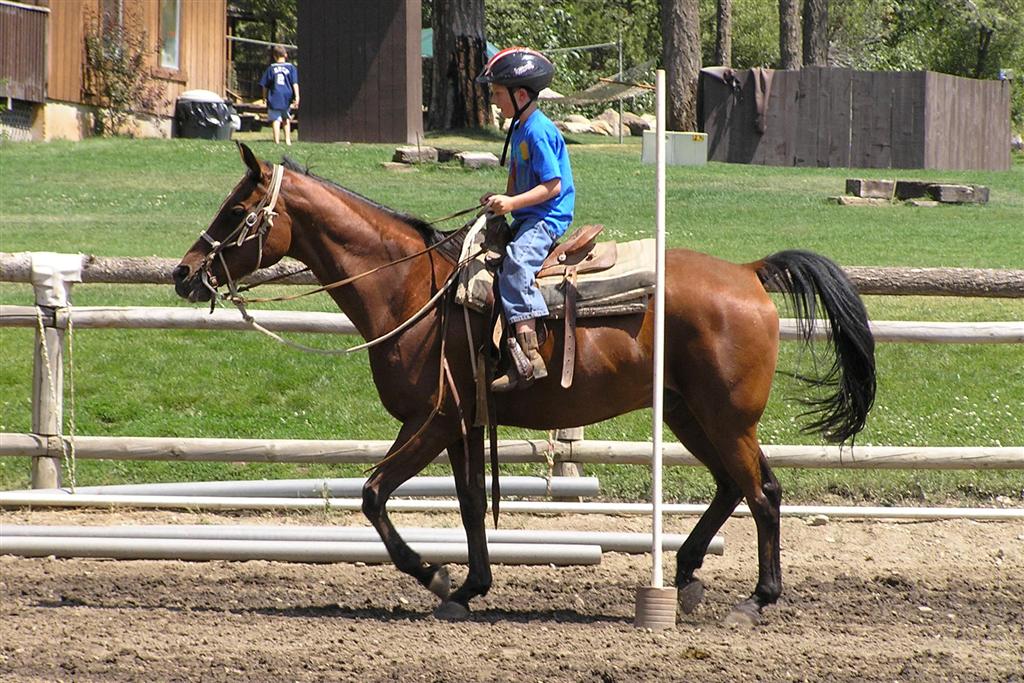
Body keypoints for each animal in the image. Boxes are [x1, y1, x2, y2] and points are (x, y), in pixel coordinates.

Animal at [173, 143, 876, 626]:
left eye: (237, 211)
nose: (183, 274)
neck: (413, 290)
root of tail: (749, 272)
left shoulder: (431, 421)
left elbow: (372, 495)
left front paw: (433, 575)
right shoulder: (461, 426)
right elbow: (469, 507)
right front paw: (467, 588)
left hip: (727, 419)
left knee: (764, 493)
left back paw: (755, 599)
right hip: (688, 414)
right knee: (734, 486)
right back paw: (685, 575)